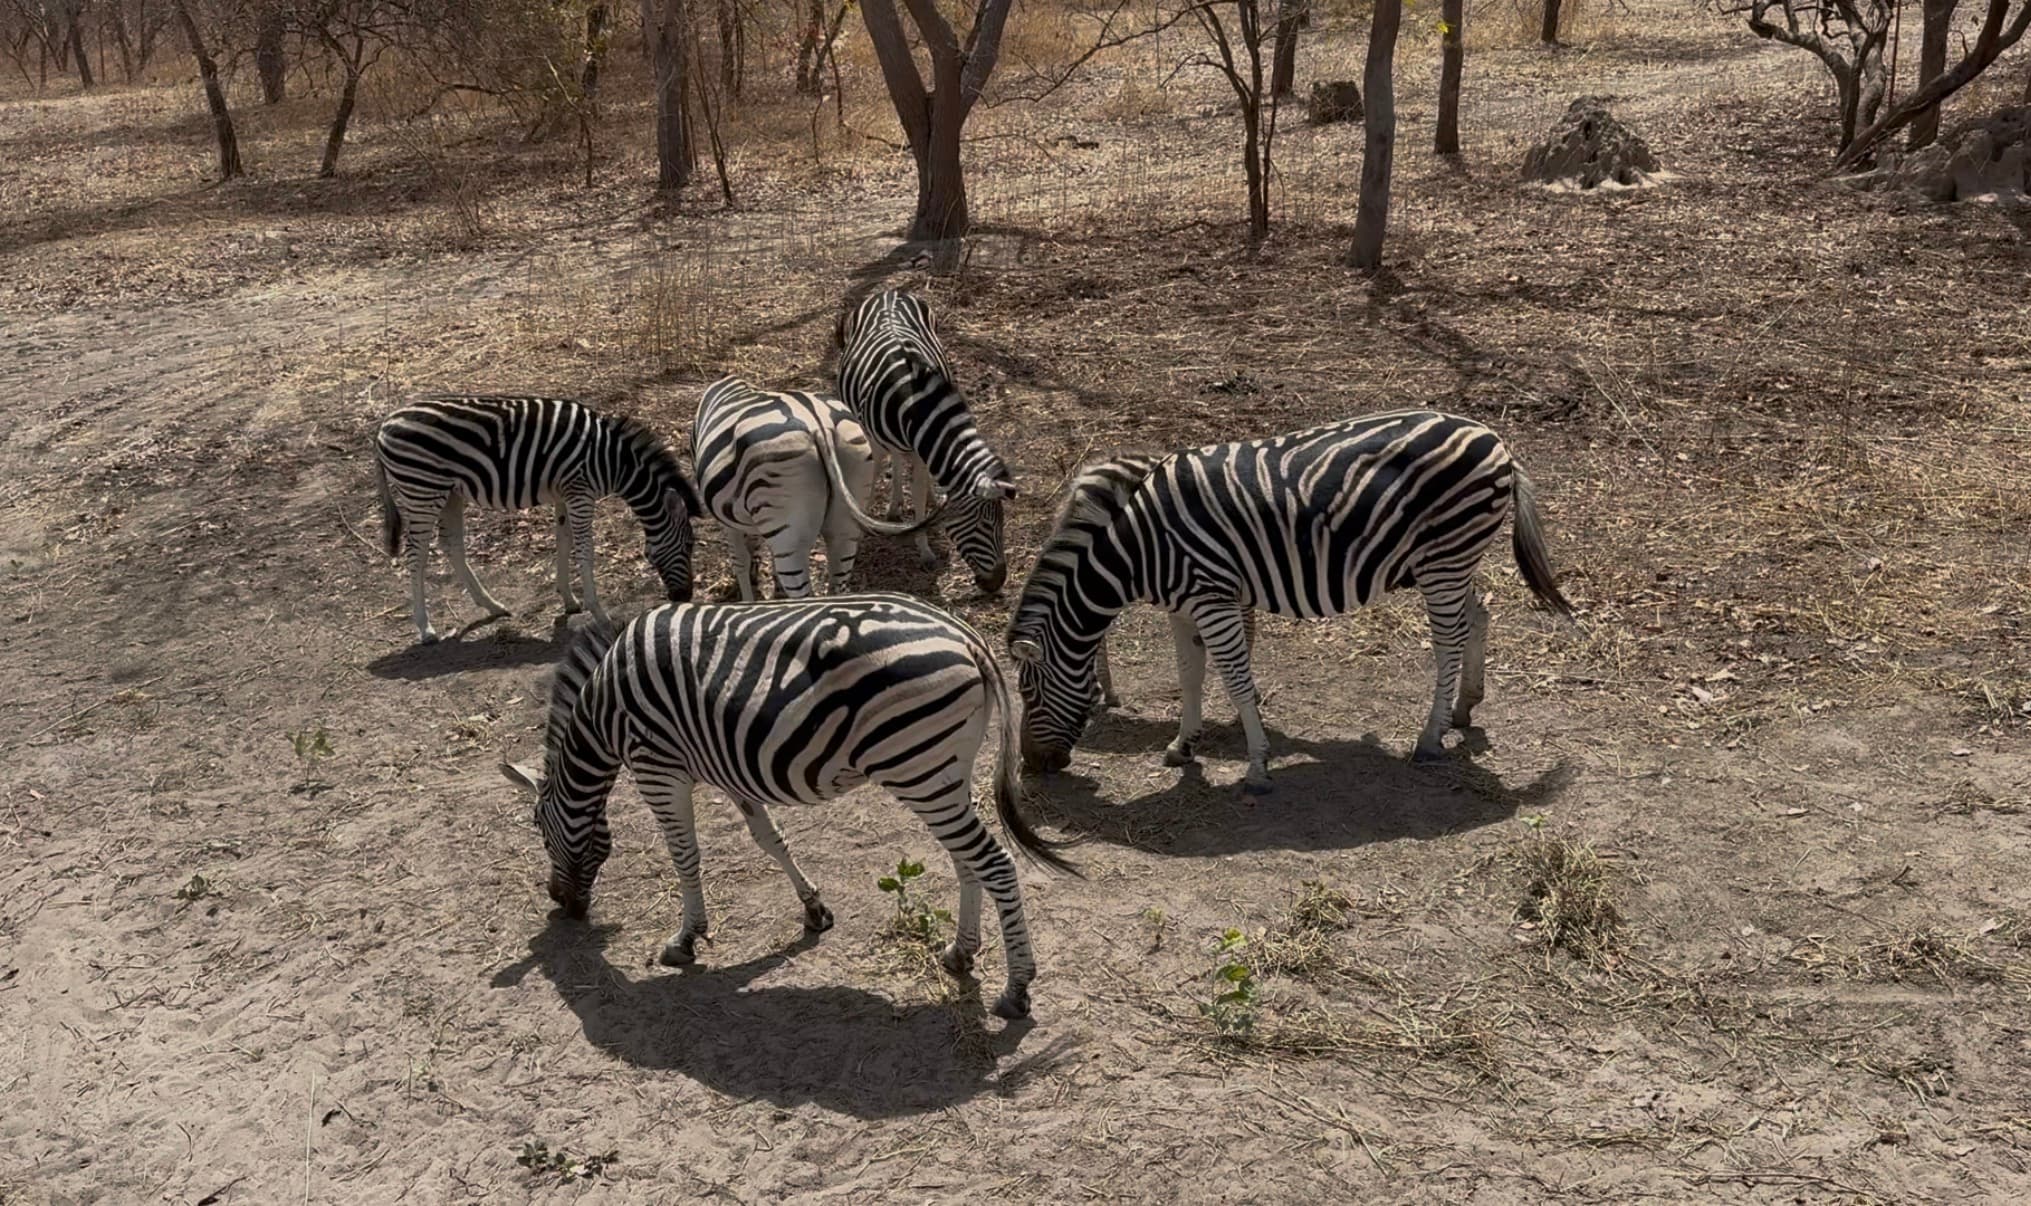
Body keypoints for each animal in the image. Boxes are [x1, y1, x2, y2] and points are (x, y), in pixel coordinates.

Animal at [374, 396, 701, 645]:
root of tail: (384, 426)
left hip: (449, 493)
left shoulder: (565, 494)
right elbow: (585, 551)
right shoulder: (581, 493)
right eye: (689, 545)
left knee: (451, 545)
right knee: (416, 555)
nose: (685, 596)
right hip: (422, 490)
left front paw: (569, 600)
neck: (613, 461)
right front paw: (600, 614)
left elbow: (563, 540)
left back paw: (491, 605)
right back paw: (425, 628)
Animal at [499, 594, 1076, 1019]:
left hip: (919, 770)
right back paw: (960, 953)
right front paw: (814, 910)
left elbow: (685, 856)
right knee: (966, 860)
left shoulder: (657, 767)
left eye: (539, 829)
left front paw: (685, 939)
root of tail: (966, 634)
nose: (560, 904)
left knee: (994, 863)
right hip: (945, 773)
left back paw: (1017, 989)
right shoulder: (728, 765)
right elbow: (769, 838)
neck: (603, 710)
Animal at [690, 376, 936, 601]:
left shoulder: (727, 521)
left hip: (790, 534)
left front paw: (749, 601)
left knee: (805, 596)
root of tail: (819, 425)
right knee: (837, 586)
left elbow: (740, 561)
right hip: (846, 515)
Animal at [835, 289, 1018, 593]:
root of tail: (890, 292)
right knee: (893, 458)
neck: (913, 402)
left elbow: (919, 495)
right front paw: (864, 523)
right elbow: (876, 472)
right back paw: (893, 505)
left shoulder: (922, 451)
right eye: (985, 526)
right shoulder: (874, 439)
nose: (997, 583)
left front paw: (924, 548)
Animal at [1006, 411, 1574, 793]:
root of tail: (1495, 439)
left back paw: (1429, 738)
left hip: (1445, 556)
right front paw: (1183, 745)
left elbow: (1236, 681)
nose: (1031, 766)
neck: (1140, 548)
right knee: (1477, 614)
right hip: (1451, 562)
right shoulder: (1185, 606)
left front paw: (1257, 765)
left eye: (1028, 693)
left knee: (1448, 641)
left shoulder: (1213, 597)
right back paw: (1462, 709)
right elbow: (1189, 677)